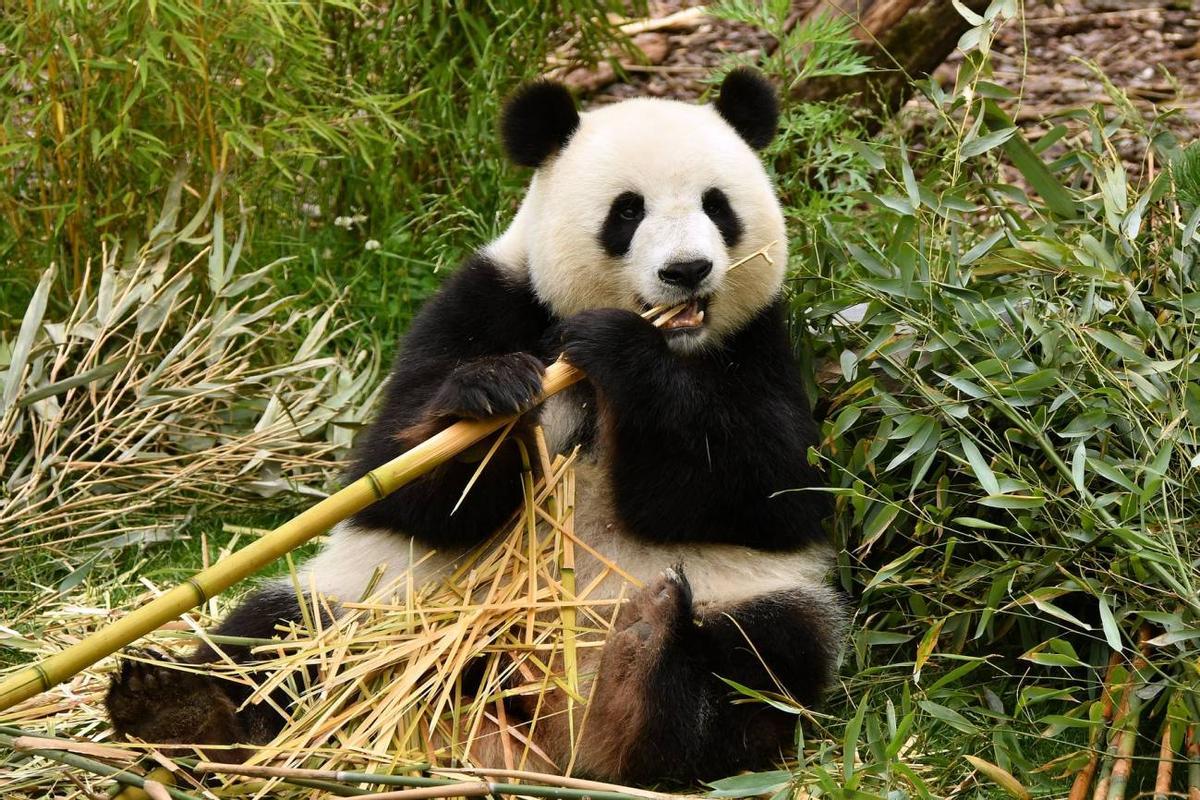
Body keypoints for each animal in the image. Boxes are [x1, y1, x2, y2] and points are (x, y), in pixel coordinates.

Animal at [106, 68, 846, 784]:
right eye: (628, 211)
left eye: (717, 205)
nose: (687, 271)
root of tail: (548, 738)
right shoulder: (488, 300)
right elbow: (398, 477)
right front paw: (490, 399)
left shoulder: (762, 345)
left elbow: (771, 487)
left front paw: (622, 350)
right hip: (381, 601)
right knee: (279, 637)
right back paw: (182, 712)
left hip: (742, 597)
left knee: (759, 664)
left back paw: (642, 669)